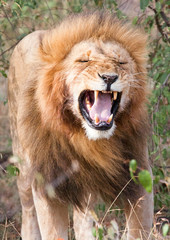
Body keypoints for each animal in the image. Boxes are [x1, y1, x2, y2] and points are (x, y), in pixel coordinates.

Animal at [7, 10, 153, 240]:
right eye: (84, 60)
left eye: (120, 62)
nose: (109, 77)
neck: (88, 141)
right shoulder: (47, 185)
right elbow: (53, 232)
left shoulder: (139, 176)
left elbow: (139, 230)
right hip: (23, 167)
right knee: (28, 210)